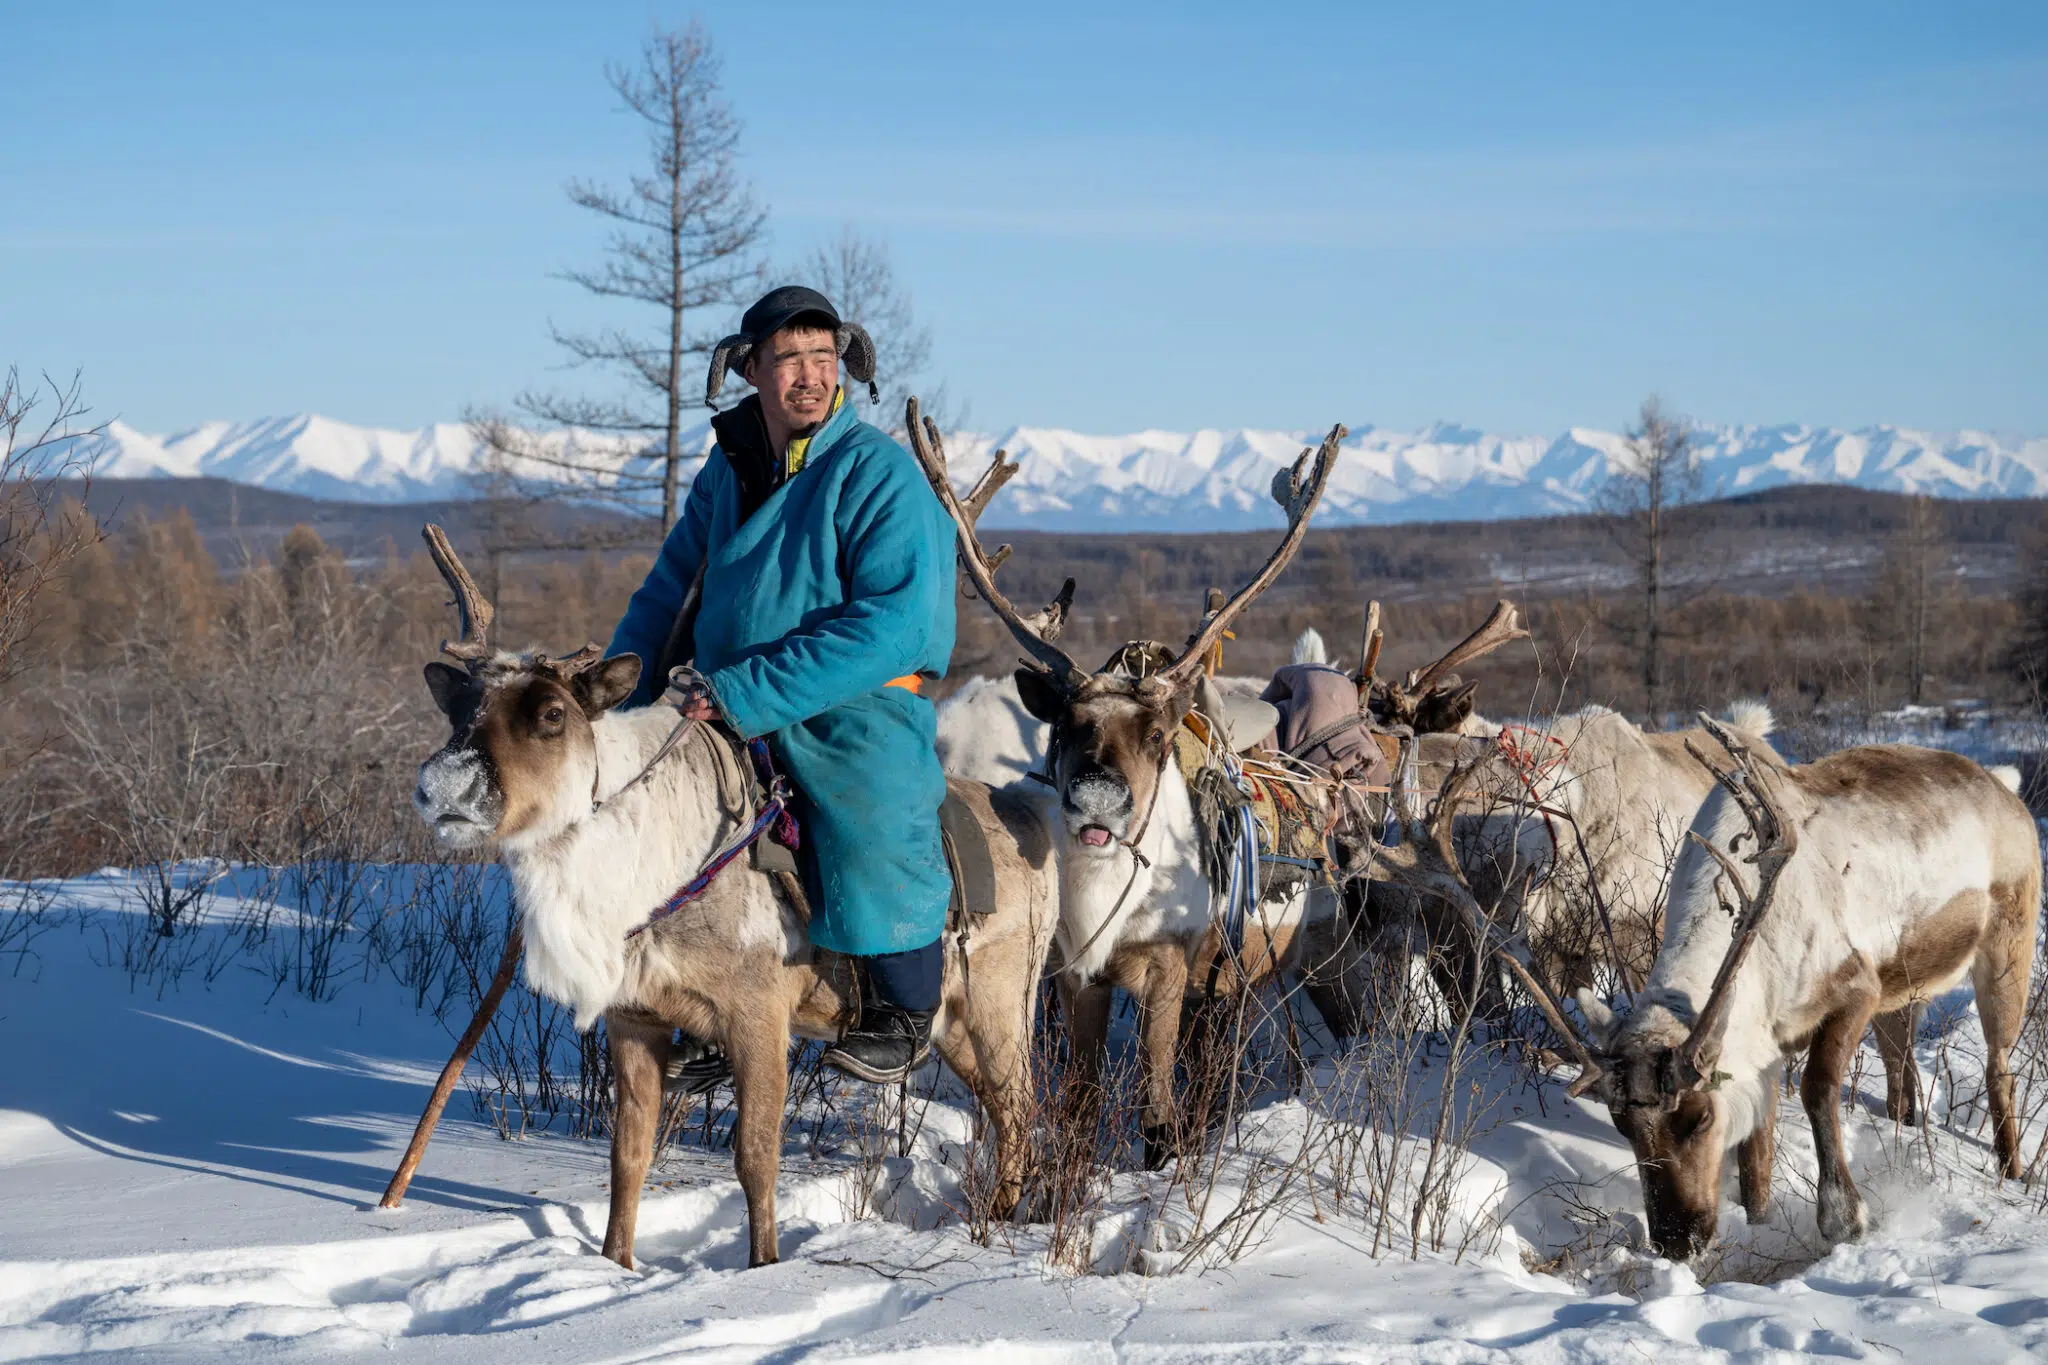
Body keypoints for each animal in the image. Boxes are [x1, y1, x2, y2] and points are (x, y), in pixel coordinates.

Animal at [406, 524, 1059, 1271]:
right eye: (460, 709)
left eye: (551, 713)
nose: (444, 787)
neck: (650, 871)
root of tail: (1030, 813)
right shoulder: (636, 1019)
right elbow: (627, 1156)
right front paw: (615, 1265)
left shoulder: (759, 1017)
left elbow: (755, 1158)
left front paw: (763, 1266)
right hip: (953, 1024)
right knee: (1002, 1109)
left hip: (1002, 1004)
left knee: (1020, 1105)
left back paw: (1007, 1216)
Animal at [909, 402, 1378, 1167]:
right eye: (1065, 725)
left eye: (1157, 735)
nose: (1098, 798)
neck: (1108, 897)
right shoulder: (1078, 975)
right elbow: (1081, 1104)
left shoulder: (1167, 967)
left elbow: (1156, 1116)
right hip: (1227, 987)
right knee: (1213, 1065)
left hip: (1325, 955)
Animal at [1379, 717, 2041, 1261]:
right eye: (1621, 1125)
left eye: (1697, 1119)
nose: (1677, 1240)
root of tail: (2004, 785)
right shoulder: (1766, 1041)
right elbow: (1755, 1157)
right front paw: (1761, 1220)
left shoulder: (1857, 987)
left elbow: (1818, 1087)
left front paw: (1844, 1219)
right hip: (1905, 992)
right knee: (1904, 1067)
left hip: (2008, 944)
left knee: (2000, 1065)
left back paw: (2013, 1171)